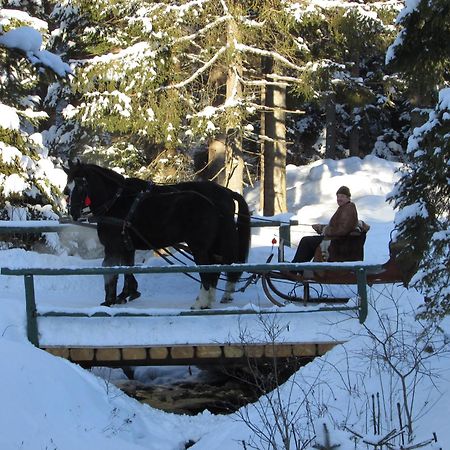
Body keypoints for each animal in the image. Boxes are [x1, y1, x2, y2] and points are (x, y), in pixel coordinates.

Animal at [63, 161, 251, 310]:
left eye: (82, 184)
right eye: (67, 188)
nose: (74, 212)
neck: (117, 201)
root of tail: (224, 194)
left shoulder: (113, 246)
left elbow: (110, 272)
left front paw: (109, 301)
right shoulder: (127, 246)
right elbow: (127, 268)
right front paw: (128, 293)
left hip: (200, 247)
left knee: (207, 271)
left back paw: (201, 303)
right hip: (213, 245)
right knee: (216, 269)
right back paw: (211, 299)